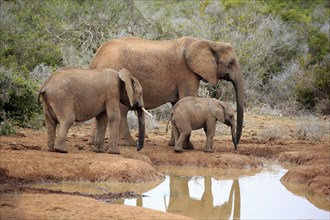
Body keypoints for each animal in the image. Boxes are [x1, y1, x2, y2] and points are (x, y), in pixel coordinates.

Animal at [88, 37, 245, 148]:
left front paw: (173, 144)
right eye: (231, 63)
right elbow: (187, 97)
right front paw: (188, 147)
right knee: (122, 110)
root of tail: (96, 59)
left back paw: (91, 143)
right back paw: (129, 144)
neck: (208, 42)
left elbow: (177, 103)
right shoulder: (187, 73)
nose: (236, 145)